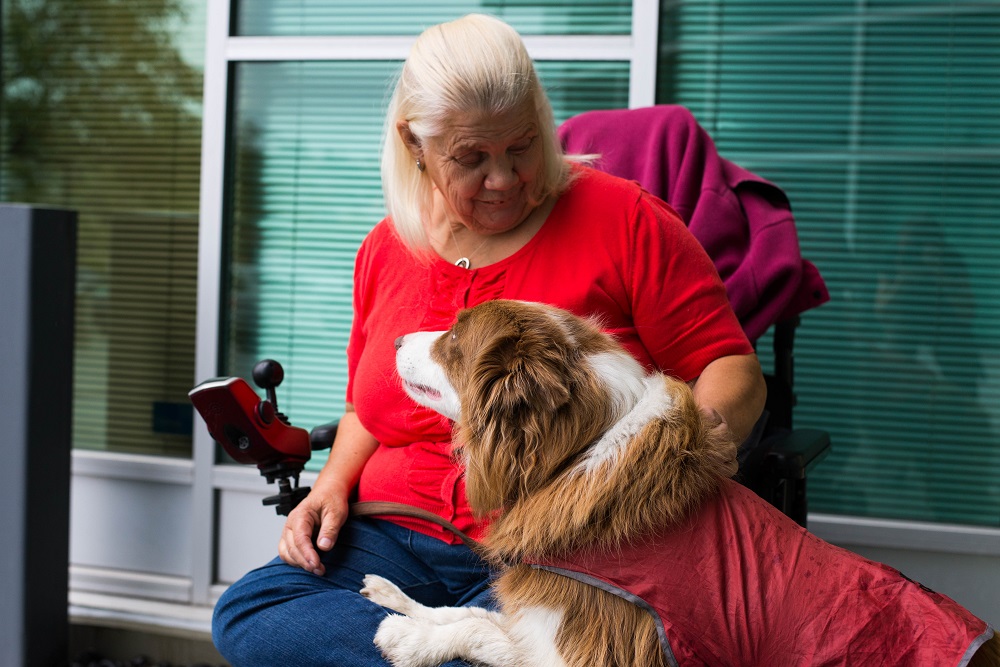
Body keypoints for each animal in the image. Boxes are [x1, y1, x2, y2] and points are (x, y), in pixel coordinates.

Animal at [364, 302, 996, 667]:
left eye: (453, 340)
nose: (391, 341)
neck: (575, 457)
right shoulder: (552, 615)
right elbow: (470, 614)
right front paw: (400, 602)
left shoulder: (600, 650)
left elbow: (481, 631)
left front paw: (408, 641)